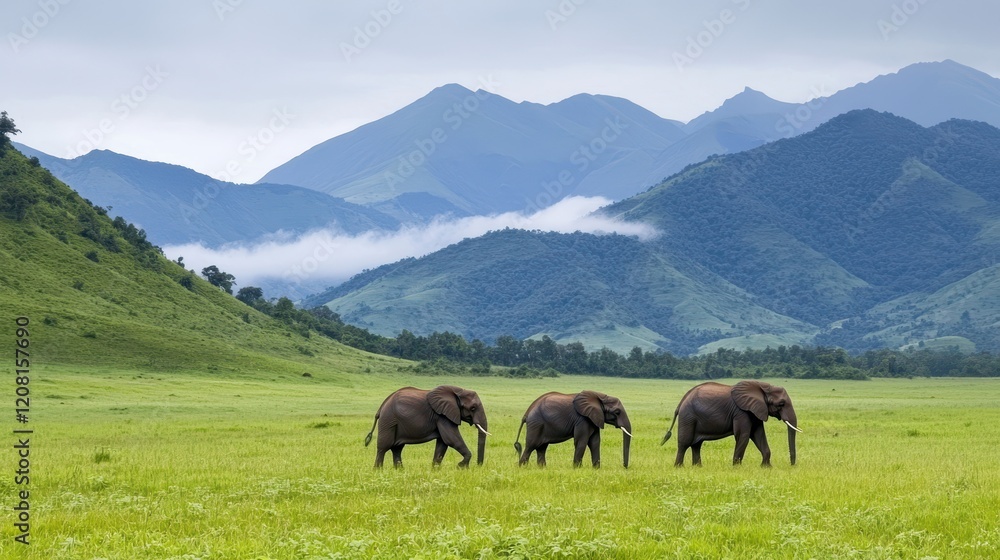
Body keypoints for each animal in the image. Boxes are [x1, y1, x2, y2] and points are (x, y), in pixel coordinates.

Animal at [661, 380, 801, 467]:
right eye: (781, 404)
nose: (791, 465)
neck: (763, 386)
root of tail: (681, 401)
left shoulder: (755, 411)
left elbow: (758, 434)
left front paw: (766, 467)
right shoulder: (741, 412)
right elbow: (743, 435)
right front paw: (737, 468)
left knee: (696, 444)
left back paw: (698, 467)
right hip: (688, 417)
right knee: (684, 443)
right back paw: (679, 467)